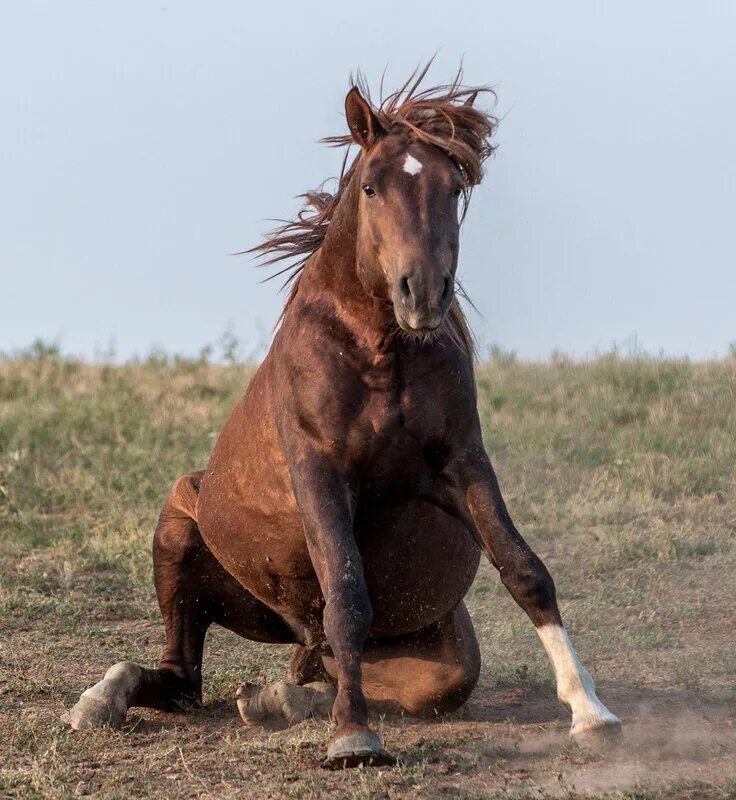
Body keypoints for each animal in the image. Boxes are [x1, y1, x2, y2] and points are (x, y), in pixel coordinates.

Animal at [63, 69, 620, 768]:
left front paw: (590, 709)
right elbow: (348, 595)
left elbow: (526, 571)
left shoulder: (462, 462)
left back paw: (275, 699)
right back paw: (100, 700)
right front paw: (353, 736)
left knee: (309, 672)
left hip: (430, 662)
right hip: (182, 532)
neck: (377, 351)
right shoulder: (321, 472)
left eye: (454, 187)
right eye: (372, 186)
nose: (423, 292)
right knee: (184, 676)